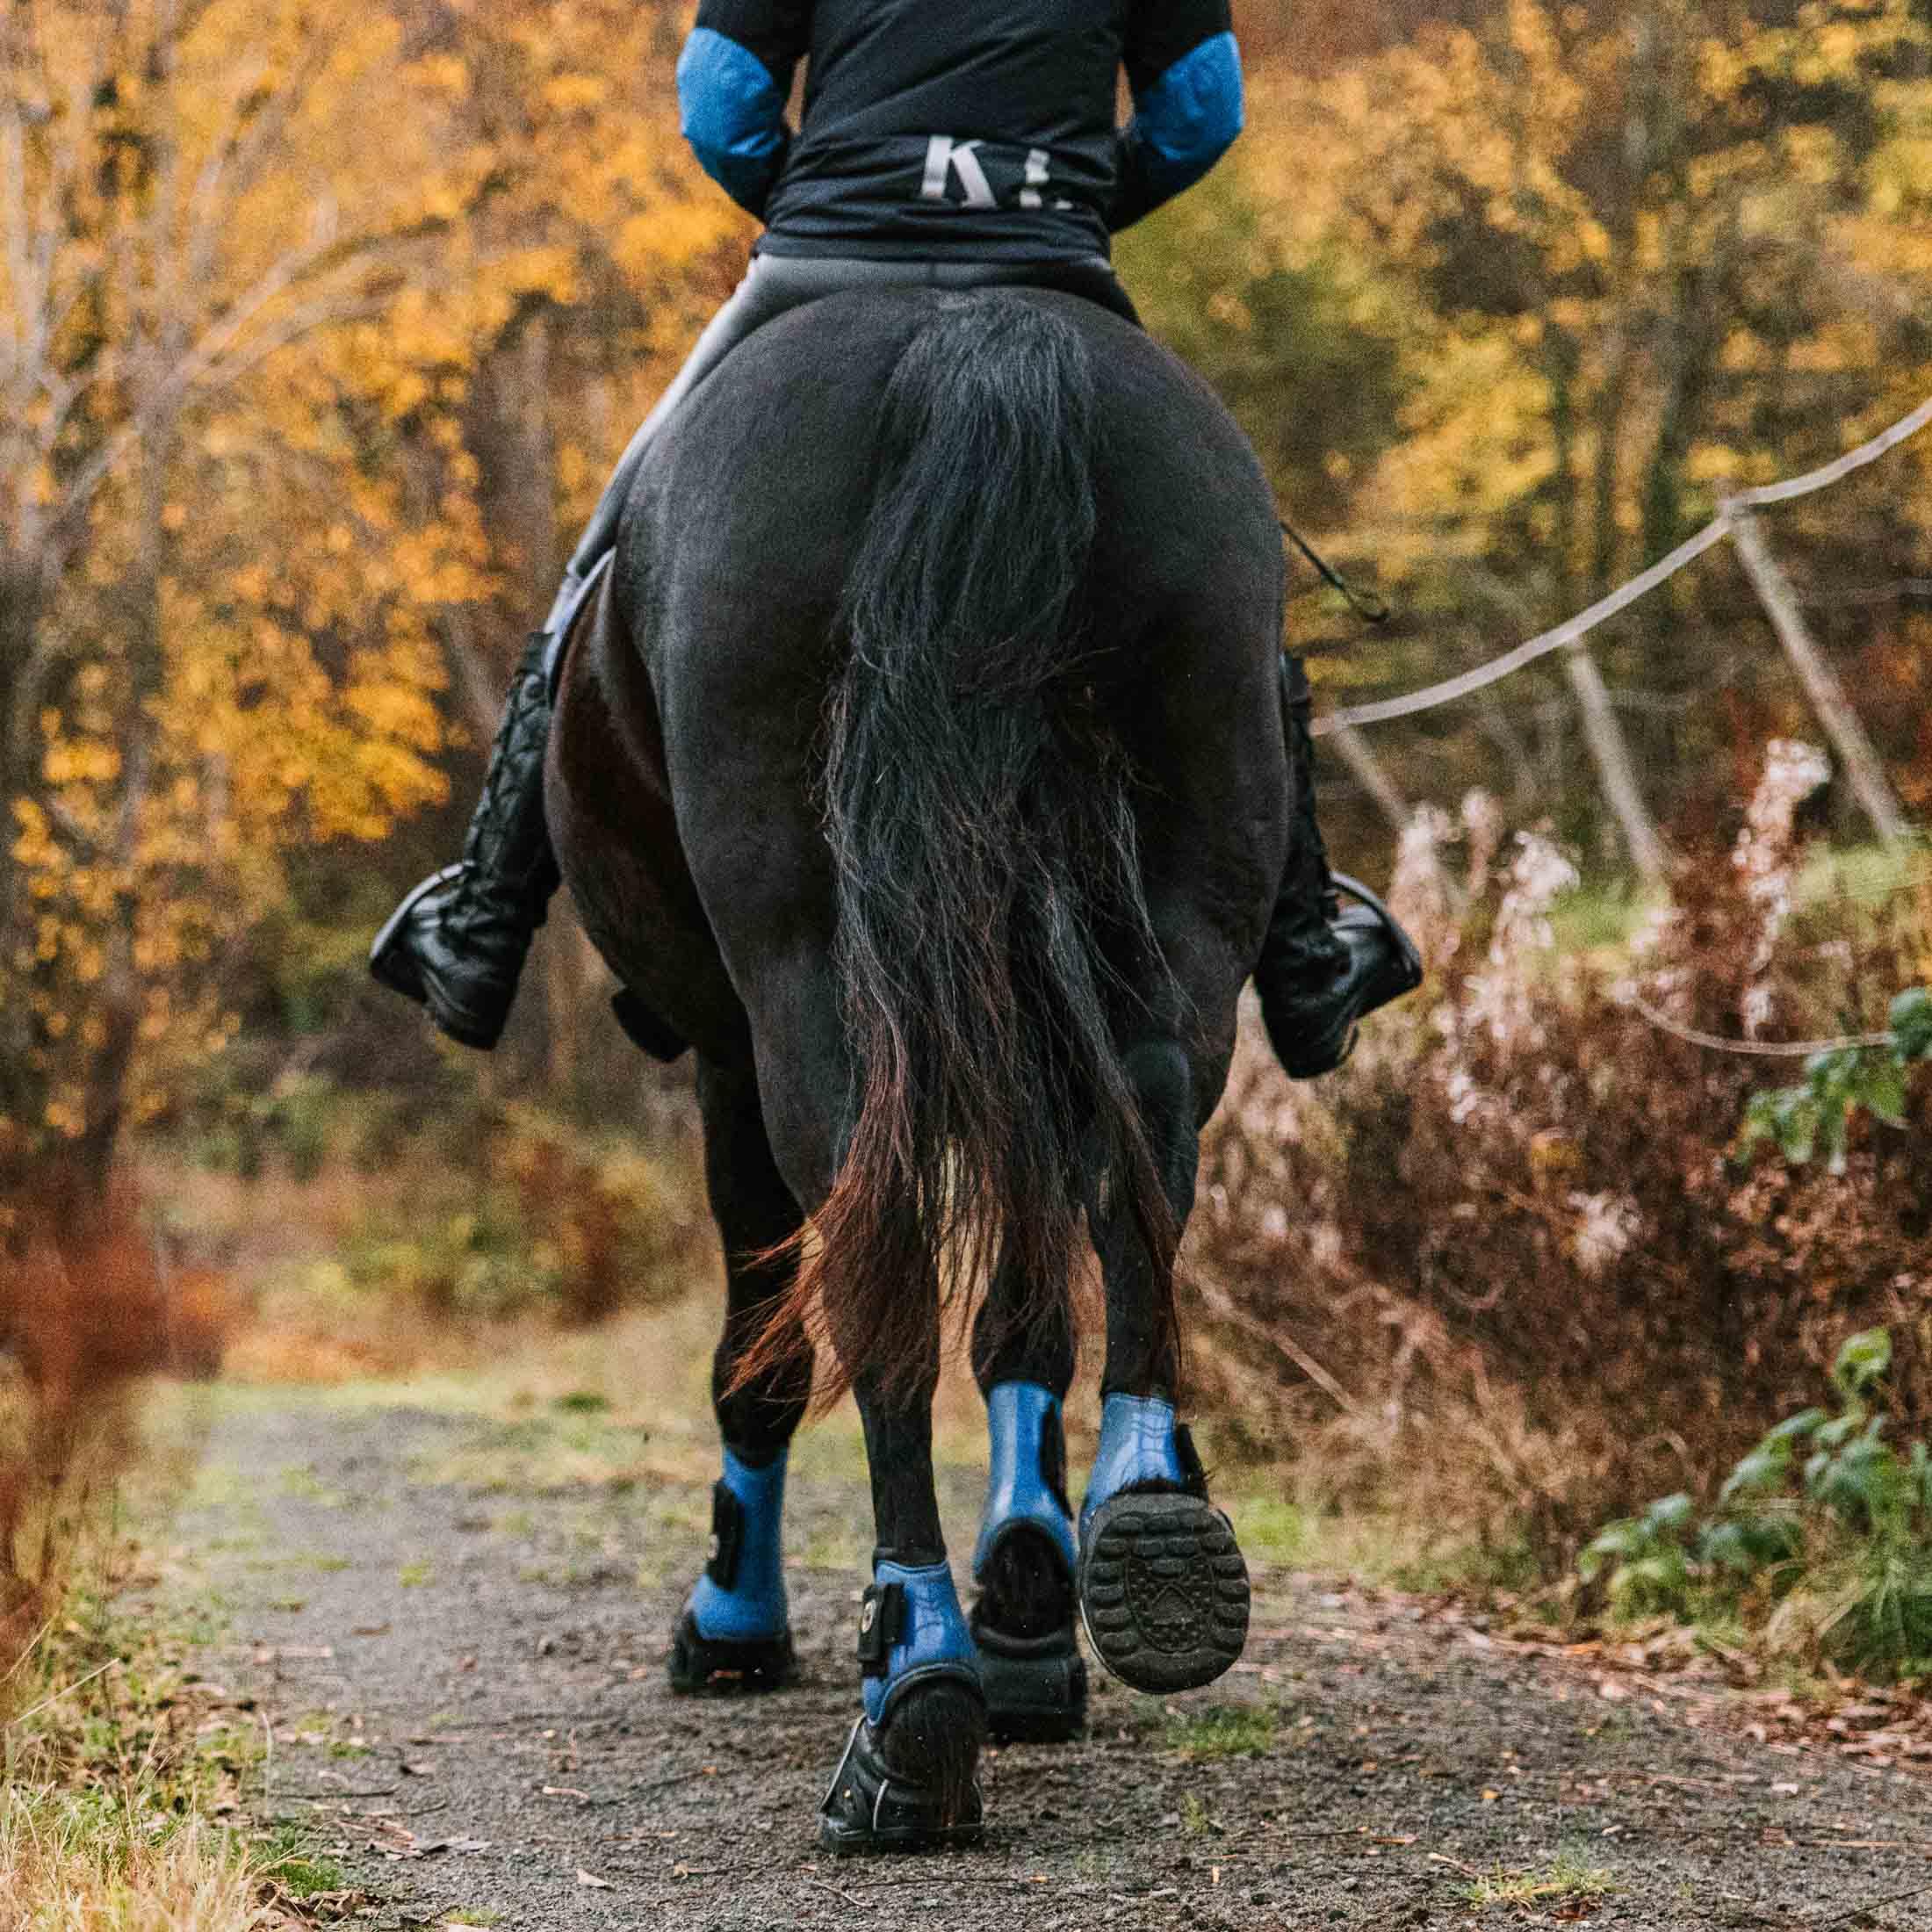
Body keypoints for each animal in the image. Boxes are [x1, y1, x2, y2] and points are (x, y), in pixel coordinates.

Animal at [545, 286, 1288, 1853]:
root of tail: (972, 338)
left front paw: (737, 1623)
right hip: (1189, 862)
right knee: (1142, 1154)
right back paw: (1141, 1525)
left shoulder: (724, 1058)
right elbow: (1025, 1314)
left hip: (800, 972)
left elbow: (760, 1356)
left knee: (871, 1262)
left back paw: (912, 1704)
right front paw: (1033, 1613)